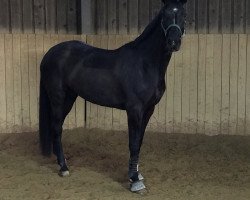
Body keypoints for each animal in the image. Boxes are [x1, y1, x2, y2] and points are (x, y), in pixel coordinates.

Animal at [39, 0, 186, 192]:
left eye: (183, 14)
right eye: (164, 14)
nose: (173, 42)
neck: (145, 64)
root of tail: (49, 54)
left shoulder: (148, 110)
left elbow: (139, 141)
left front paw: (136, 174)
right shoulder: (134, 110)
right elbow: (133, 143)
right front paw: (135, 181)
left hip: (69, 97)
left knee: (57, 127)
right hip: (58, 97)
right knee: (56, 127)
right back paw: (63, 168)